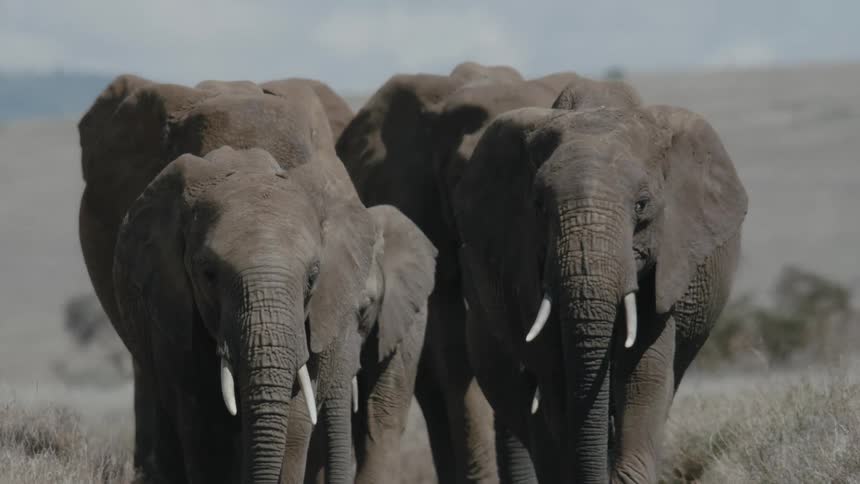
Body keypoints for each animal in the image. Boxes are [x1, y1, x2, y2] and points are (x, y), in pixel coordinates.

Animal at [78, 76, 434, 483]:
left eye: (313, 277)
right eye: (207, 274)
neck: (247, 155)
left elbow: (296, 415)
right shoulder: (167, 287)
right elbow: (200, 409)